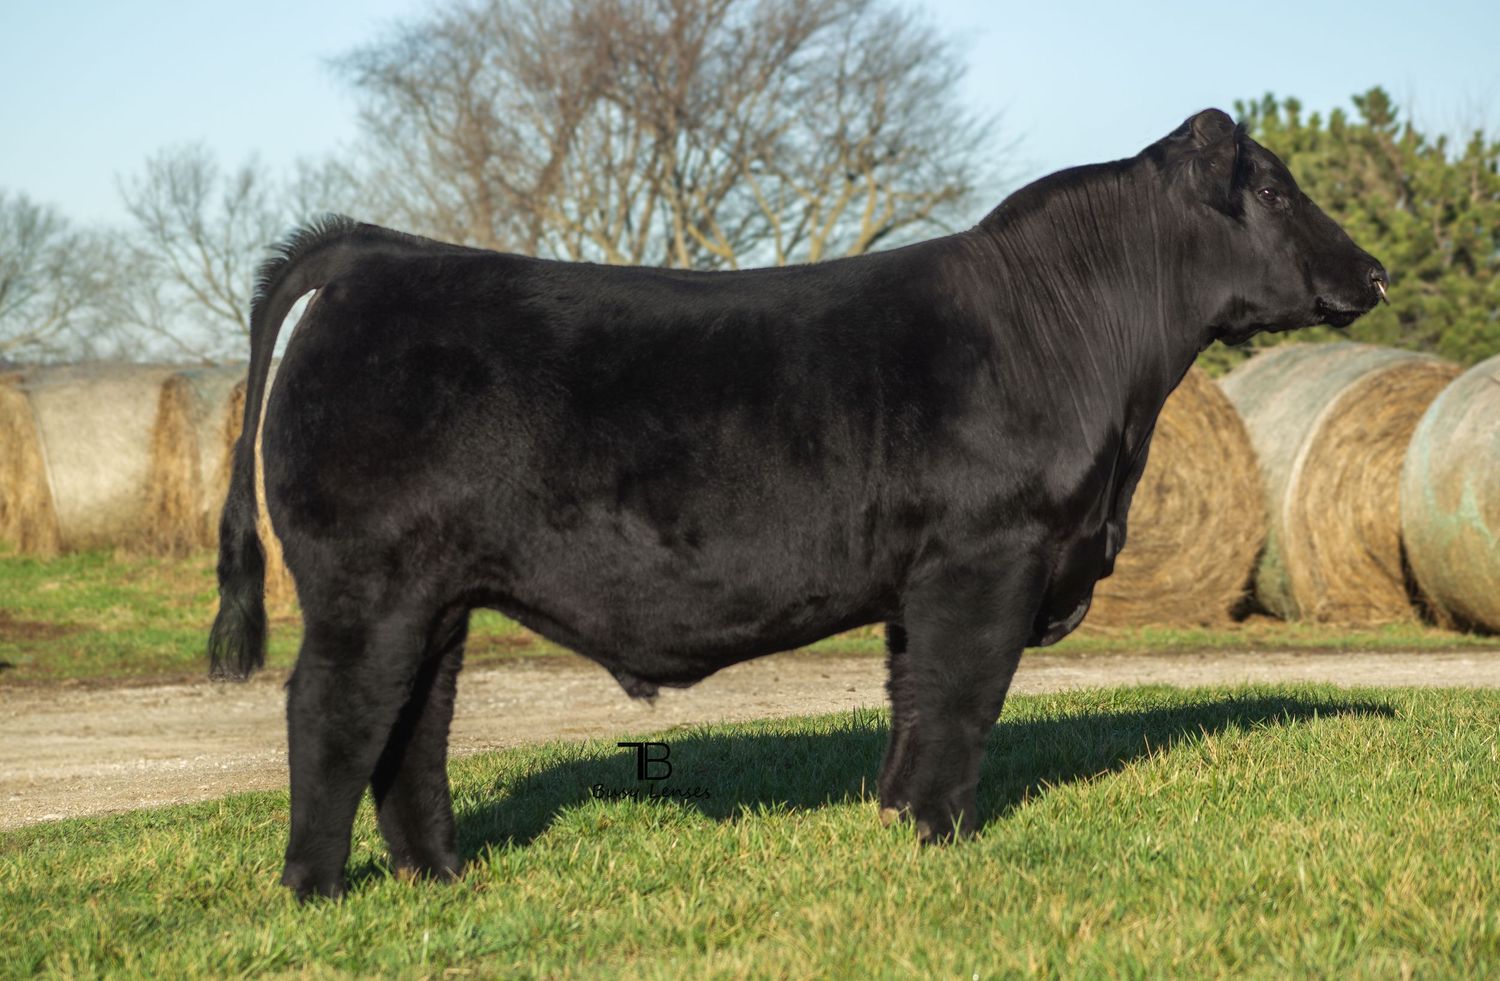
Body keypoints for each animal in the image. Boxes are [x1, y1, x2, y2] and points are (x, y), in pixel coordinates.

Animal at [209, 109, 1386, 900]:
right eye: (1274, 193)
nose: (1373, 271)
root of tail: (379, 250)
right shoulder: (988, 556)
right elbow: (962, 698)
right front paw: (943, 837)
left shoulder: (927, 578)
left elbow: (913, 701)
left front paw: (898, 821)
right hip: (366, 583)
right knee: (336, 711)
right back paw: (317, 890)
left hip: (436, 593)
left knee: (415, 723)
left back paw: (439, 876)